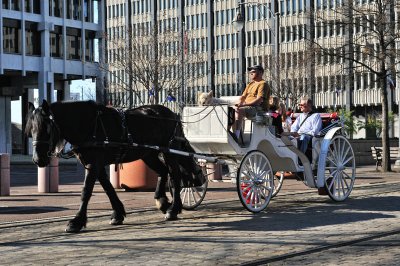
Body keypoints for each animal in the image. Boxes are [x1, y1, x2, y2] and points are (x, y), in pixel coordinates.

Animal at [25, 100, 203, 233]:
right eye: (31, 129)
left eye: (47, 128)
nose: (38, 159)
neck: (88, 124)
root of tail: (172, 114)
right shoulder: (95, 165)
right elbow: (108, 188)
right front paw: (118, 214)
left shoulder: (93, 163)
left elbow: (86, 191)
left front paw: (76, 222)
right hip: (149, 154)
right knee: (164, 172)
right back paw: (163, 202)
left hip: (168, 151)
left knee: (175, 175)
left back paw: (173, 209)